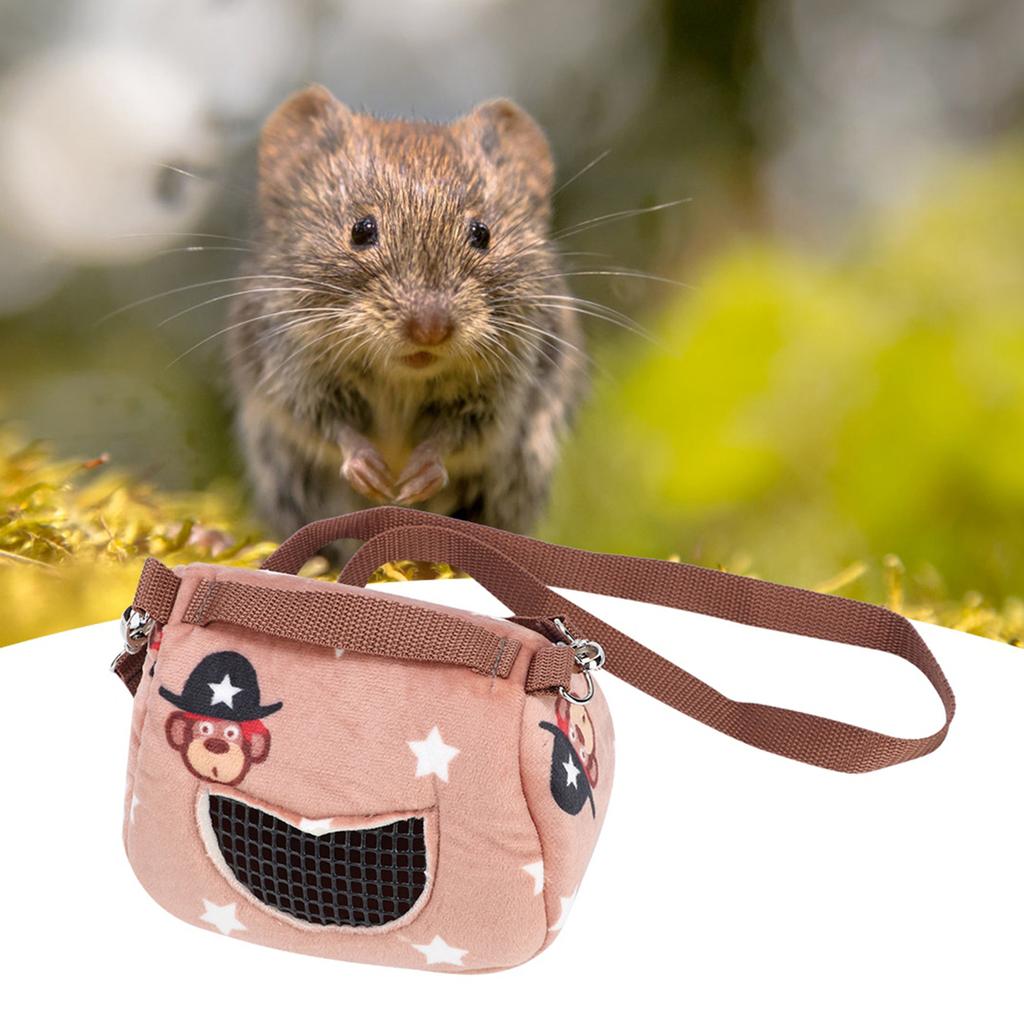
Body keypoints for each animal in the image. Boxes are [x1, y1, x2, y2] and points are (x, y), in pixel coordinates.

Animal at [227, 85, 586, 540]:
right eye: (361, 229)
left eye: (482, 233)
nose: (430, 330)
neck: (403, 377)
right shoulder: (293, 373)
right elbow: (329, 427)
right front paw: (370, 470)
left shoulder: (503, 395)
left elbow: (455, 438)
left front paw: (418, 476)